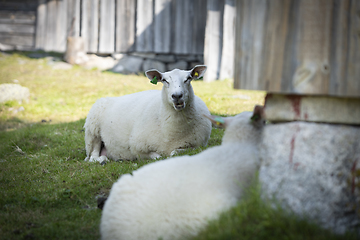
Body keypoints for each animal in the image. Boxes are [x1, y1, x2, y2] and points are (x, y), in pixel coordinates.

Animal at [83, 64, 211, 162]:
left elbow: (174, 153)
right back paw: (102, 160)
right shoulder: (137, 148)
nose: (177, 96)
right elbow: (157, 157)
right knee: (93, 156)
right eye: (164, 80)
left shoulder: (197, 146)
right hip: (92, 132)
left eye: (188, 78)